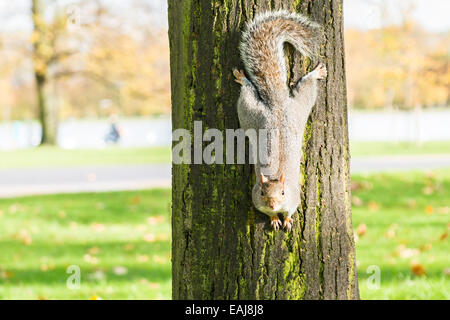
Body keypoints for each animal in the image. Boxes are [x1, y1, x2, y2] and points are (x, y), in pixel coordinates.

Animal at [232, 10, 326, 230]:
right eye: (262, 193)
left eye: (283, 192)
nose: (273, 204)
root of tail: (277, 104)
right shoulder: (256, 200)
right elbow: (267, 214)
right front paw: (274, 219)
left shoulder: (294, 198)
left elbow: (291, 210)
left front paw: (287, 219)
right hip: (252, 112)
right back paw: (242, 77)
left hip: (291, 106)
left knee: (305, 88)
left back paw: (316, 73)